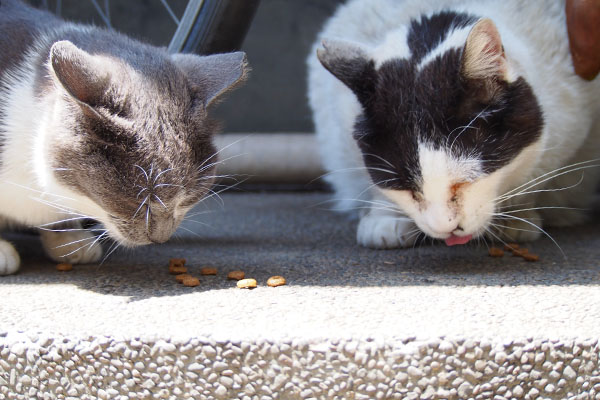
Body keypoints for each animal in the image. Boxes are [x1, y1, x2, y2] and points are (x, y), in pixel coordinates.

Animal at [308, 0, 600, 250]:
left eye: (466, 181)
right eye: (405, 187)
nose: (445, 227)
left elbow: (536, 177)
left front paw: (516, 216)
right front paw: (386, 217)